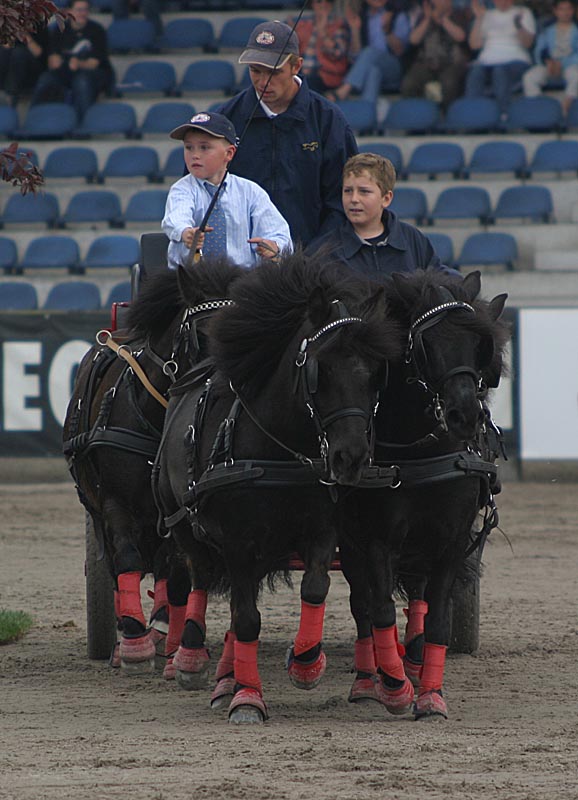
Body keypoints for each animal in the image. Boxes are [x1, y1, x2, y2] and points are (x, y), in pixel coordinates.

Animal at [63, 256, 243, 676]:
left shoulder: (179, 511)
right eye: (201, 332)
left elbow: (177, 575)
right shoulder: (115, 503)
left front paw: (173, 644)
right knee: (116, 567)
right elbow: (126, 560)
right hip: (97, 509)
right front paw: (132, 642)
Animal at [154, 252, 400, 724]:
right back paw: (192, 660)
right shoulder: (237, 540)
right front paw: (247, 697)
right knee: (198, 577)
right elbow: (246, 618)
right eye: (322, 369)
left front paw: (305, 663)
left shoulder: (322, 529)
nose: (350, 458)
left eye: (376, 374)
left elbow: (314, 588)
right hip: (181, 521)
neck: (281, 449)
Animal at [340, 268, 506, 720]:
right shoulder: (377, 540)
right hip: (351, 541)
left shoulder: (450, 539)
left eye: (479, 343)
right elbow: (378, 609)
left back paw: (412, 661)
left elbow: (437, 618)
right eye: (426, 345)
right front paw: (394, 686)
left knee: (417, 595)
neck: (423, 452)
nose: (465, 415)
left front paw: (430, 693)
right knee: (363, 604)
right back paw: (368, 679)